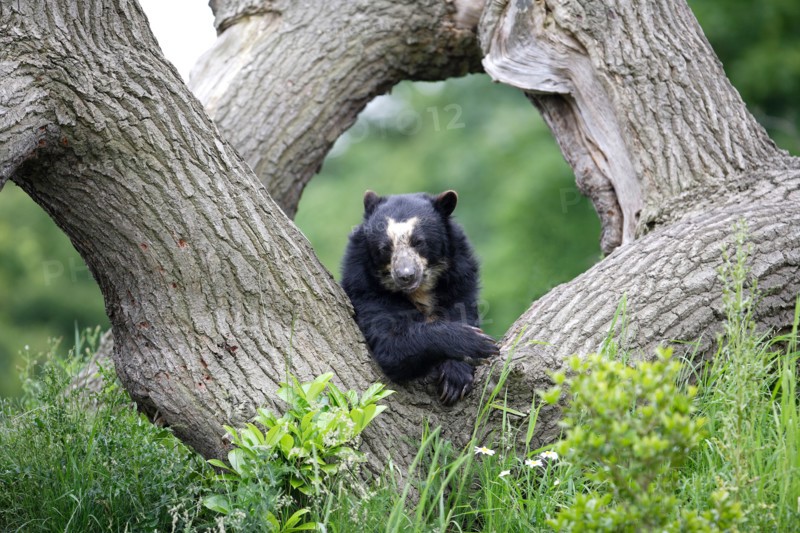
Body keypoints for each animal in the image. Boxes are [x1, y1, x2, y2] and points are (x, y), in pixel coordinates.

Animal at [341, 190, 499, 405]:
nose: (405, 275)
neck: (420, 290)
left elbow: (462, 311)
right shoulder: (365, 288)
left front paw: (455, 380)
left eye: (419, 242)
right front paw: (478, 343)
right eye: (385, 248)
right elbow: (392, 342)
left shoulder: (460, 281)